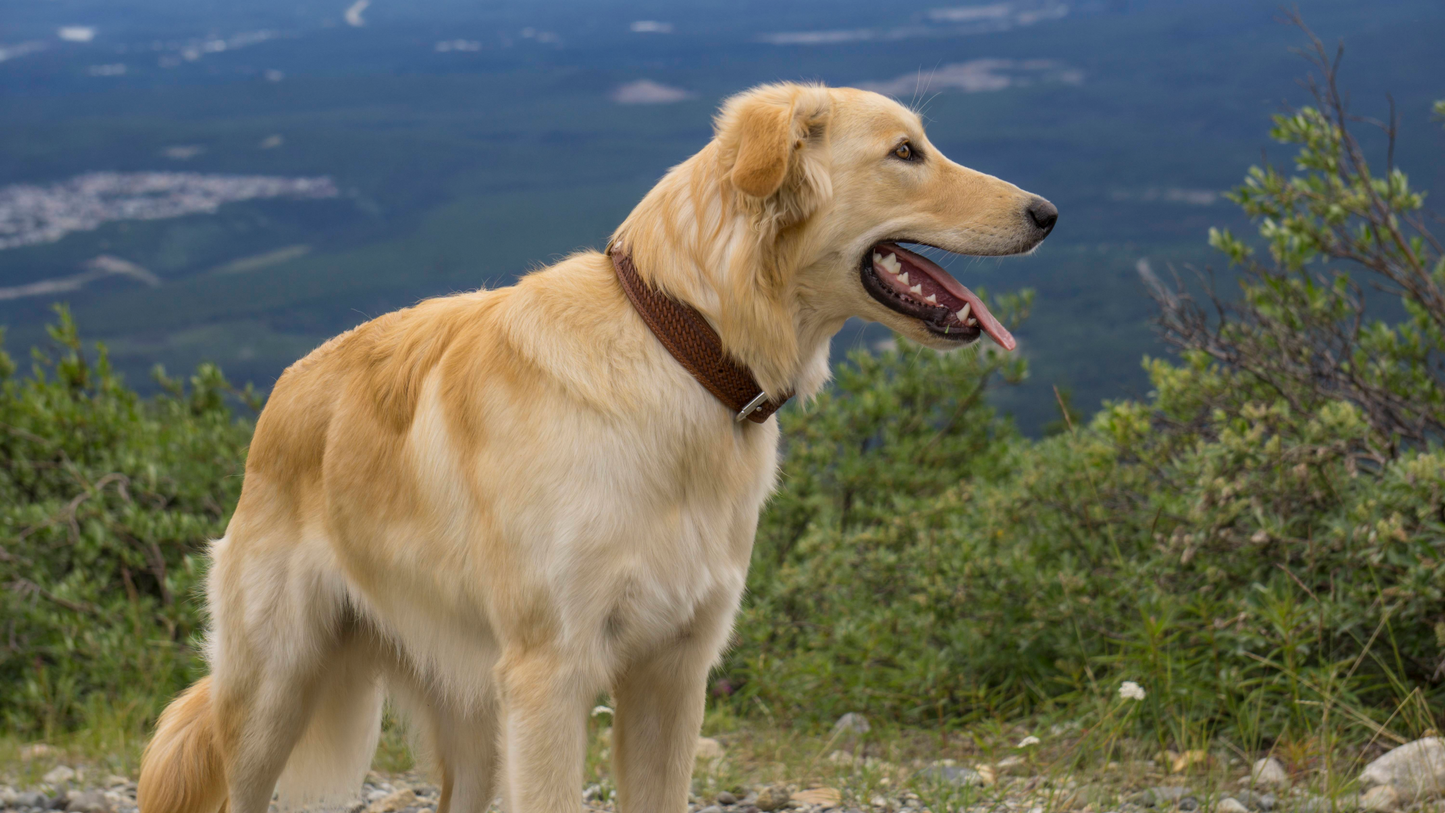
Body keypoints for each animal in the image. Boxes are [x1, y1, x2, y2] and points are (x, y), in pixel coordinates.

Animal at [140, 82, 1057, 813]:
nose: (1047, 214)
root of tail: (285, 391)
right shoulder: (553, 675)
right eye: (905, 152)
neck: (682, 350)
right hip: (271, 697)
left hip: (472, 717)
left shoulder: (670, 676)